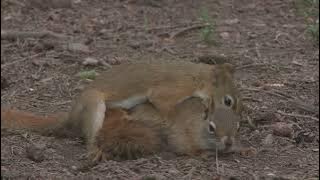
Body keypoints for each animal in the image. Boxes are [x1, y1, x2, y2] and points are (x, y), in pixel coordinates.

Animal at [0, 61, 248, 162]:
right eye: (228, 101)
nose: (241, 118)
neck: (196, 77)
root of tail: (71, 117)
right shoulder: (169, 91)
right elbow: (166, 109)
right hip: (94, 105)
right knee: (90, 137)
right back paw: (94, 151)